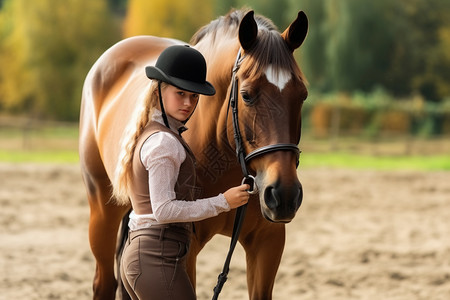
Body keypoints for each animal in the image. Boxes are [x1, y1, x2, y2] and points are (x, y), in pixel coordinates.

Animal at [79, 8, 308, 298]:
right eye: (247, 95)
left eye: (302, 95)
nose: (284, 195)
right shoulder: (186, 250)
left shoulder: (268, 241)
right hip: (102, 209)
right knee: (104, 282)